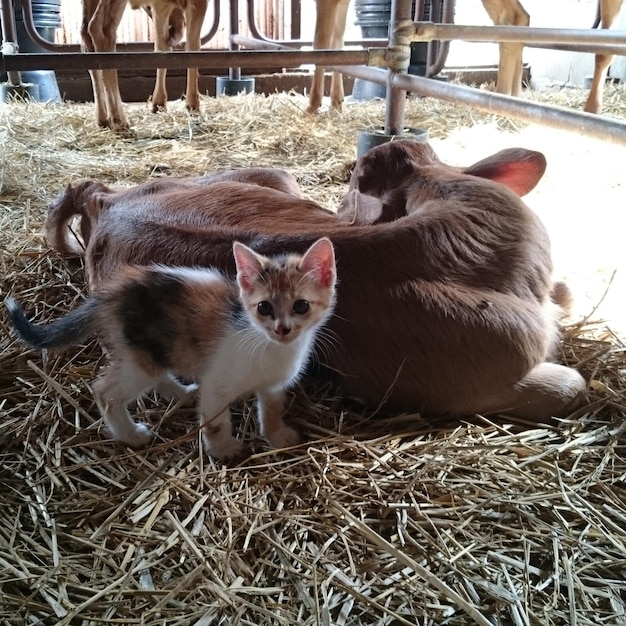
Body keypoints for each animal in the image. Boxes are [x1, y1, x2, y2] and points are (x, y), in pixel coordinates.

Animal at [6, 236, 336, 456]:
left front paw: (277, 436)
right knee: (106, 392)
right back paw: (130, 435)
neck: (268, 345)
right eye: (264, 307)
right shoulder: (218, 382)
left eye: (301, 306)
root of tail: (111, 292)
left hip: (155, 348)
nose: (283, 329)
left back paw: (182, 393)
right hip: (141, 356)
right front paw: (223, 450)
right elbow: (215, 420)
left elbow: (271, 409)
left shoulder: (273, 385)